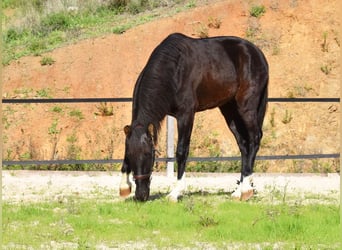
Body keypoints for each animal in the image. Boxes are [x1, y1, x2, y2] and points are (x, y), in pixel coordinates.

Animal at [119, 32, 268, 201]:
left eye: (147, 153)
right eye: (131, 155)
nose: (141, 195)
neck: (173, 69)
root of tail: (257, 52)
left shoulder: (186, 115)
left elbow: (181, 151)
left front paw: (175, 192)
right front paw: (123, 187)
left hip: (246, 107)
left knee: (254, 139)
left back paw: (246, 190)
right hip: (229, 109)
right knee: (243, 144)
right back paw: (238, 191)